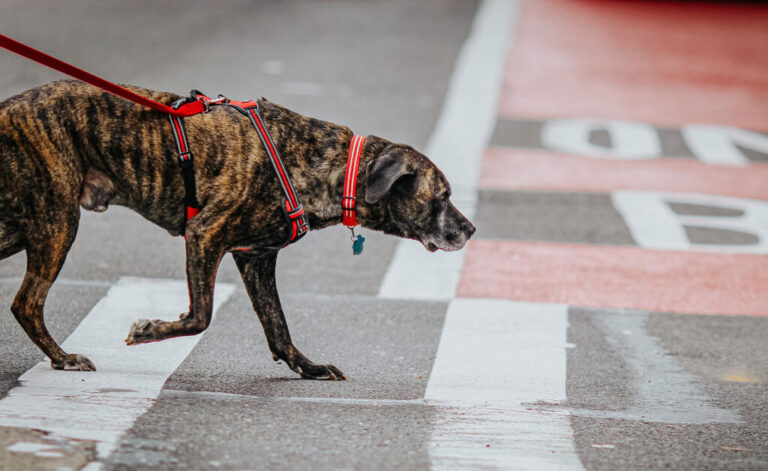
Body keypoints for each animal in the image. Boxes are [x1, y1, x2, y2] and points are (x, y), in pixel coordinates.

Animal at [0, 80, 476, 380]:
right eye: (442, 196)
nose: (471, 229)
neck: (325, 165)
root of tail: (6, 109)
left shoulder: (256, 258)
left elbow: (278, 327)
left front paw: (309, 369)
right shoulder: (204, 236)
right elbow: (200, 317)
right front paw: (149, 330)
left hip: (22, 226)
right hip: (58, 222)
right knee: (27, 303)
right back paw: (63, 358)